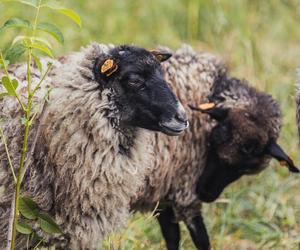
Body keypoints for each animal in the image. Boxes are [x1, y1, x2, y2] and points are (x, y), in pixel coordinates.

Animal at [131, 45, 298, 250]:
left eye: (244, 168)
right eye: (212, 144)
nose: (205, 193)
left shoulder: (163, 193)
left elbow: (171, 236)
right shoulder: (183, 190)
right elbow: (201, 238)